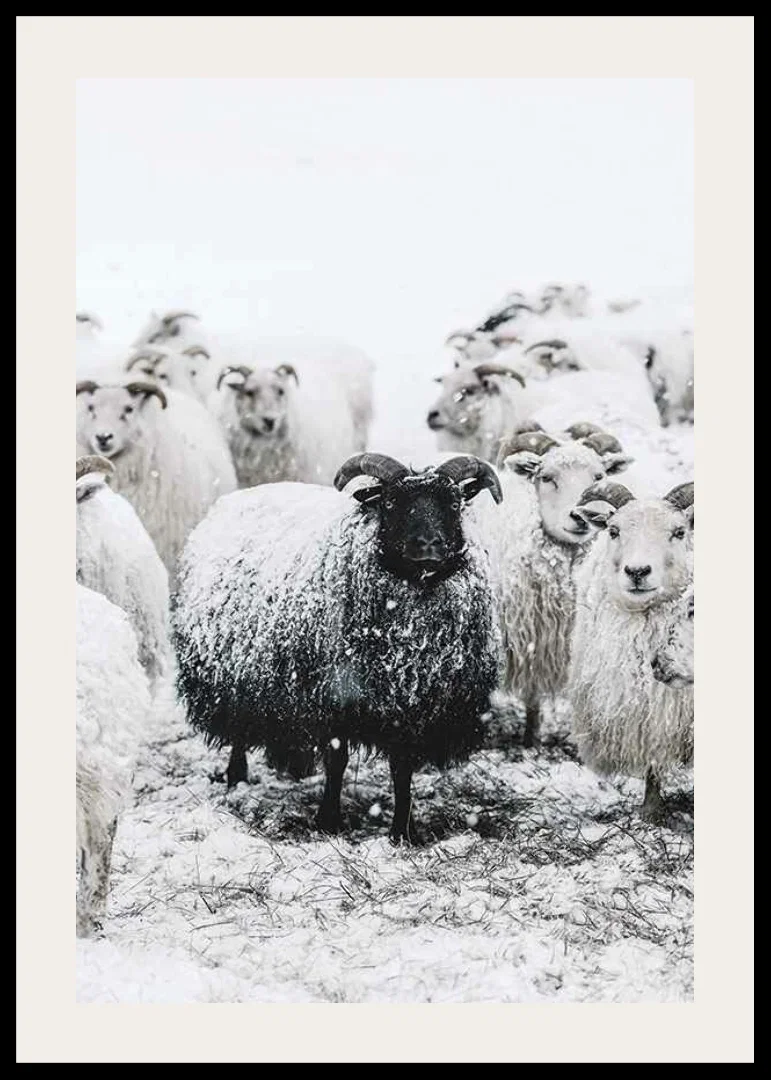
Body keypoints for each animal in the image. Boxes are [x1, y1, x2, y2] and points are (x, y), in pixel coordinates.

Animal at [172, 452, 504, 844]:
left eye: (454, 503)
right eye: (390, 503)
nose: (429, 545)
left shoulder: (411, 707)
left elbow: (402, 767)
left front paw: (403, 831)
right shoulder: (332, 697)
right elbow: (337, 760)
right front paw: (328, 820)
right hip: (234, 676)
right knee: (239, 729)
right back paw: (236, 777)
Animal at [471, 426, 634, 747]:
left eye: (599, 476)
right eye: (546, 477)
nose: (579, 516)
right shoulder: (529, 637)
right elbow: (532, 695)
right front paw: (530, 738)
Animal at [567, 480, 694, 820]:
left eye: (679, 532)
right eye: (613, 530)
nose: (637, 571)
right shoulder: (645, 709)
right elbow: (652, 758)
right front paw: (650, 812)